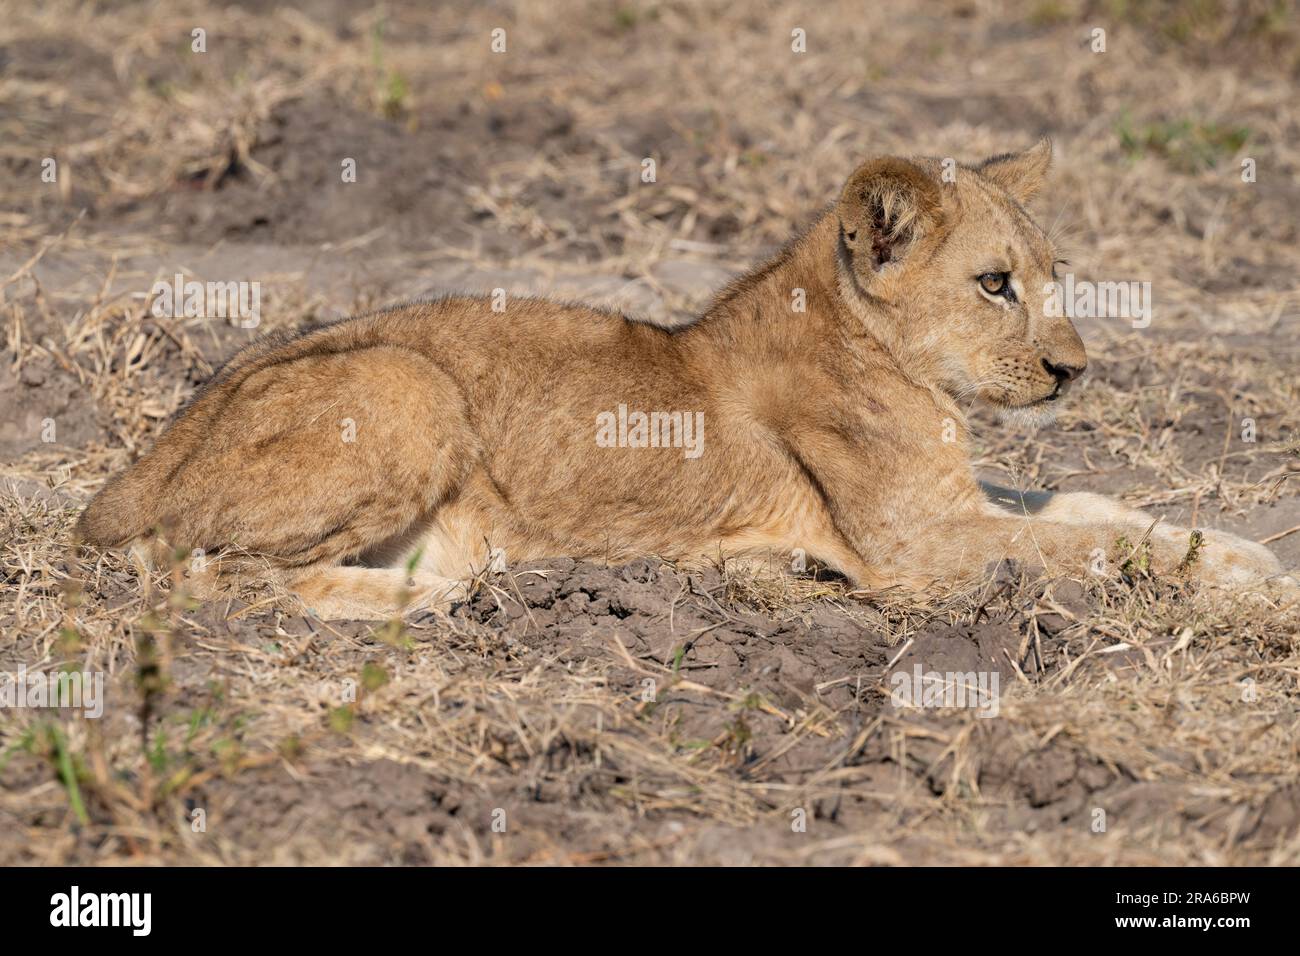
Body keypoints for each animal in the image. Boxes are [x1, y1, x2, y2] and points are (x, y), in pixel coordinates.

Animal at [74, 139, 1293, 619]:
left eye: (1054, 279)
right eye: (995, 284)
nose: (1073, 371)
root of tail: (126, 477)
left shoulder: (953, 505)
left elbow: (1086, 503)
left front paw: (1241, 549)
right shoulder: (915, 551)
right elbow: (1084, 544)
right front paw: (1255, 580)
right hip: (404, 385)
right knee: (203, 571)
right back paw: (437, 595)